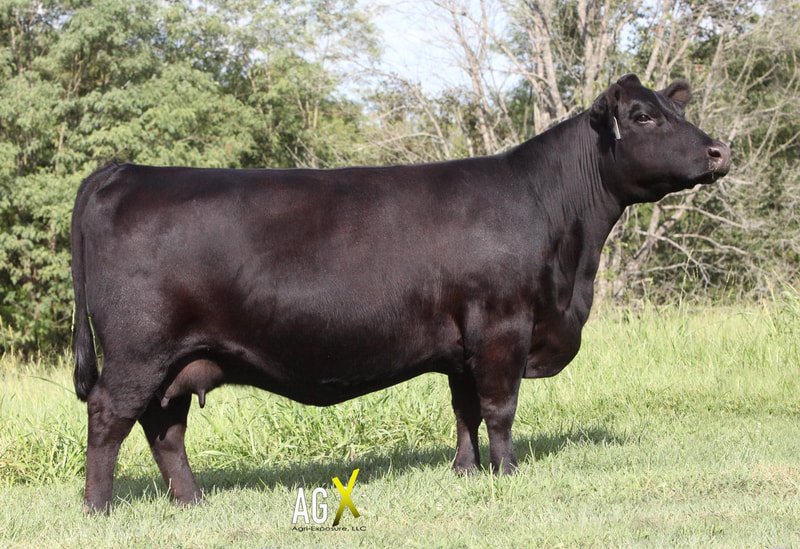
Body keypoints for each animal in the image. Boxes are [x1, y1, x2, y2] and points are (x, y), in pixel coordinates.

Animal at [70, 74, 731, 513]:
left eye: (675, 108)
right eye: (643, 117)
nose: (719, 151)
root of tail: (125, 171)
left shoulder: (463, 344)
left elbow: (465, 409)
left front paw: (467, 474)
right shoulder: (503, 325)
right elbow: (499, 407)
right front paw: (508, 473)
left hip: (179, 359)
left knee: (164, 427)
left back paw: (191, 502)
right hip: (138, 351)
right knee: (109, 416)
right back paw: (99, 508)